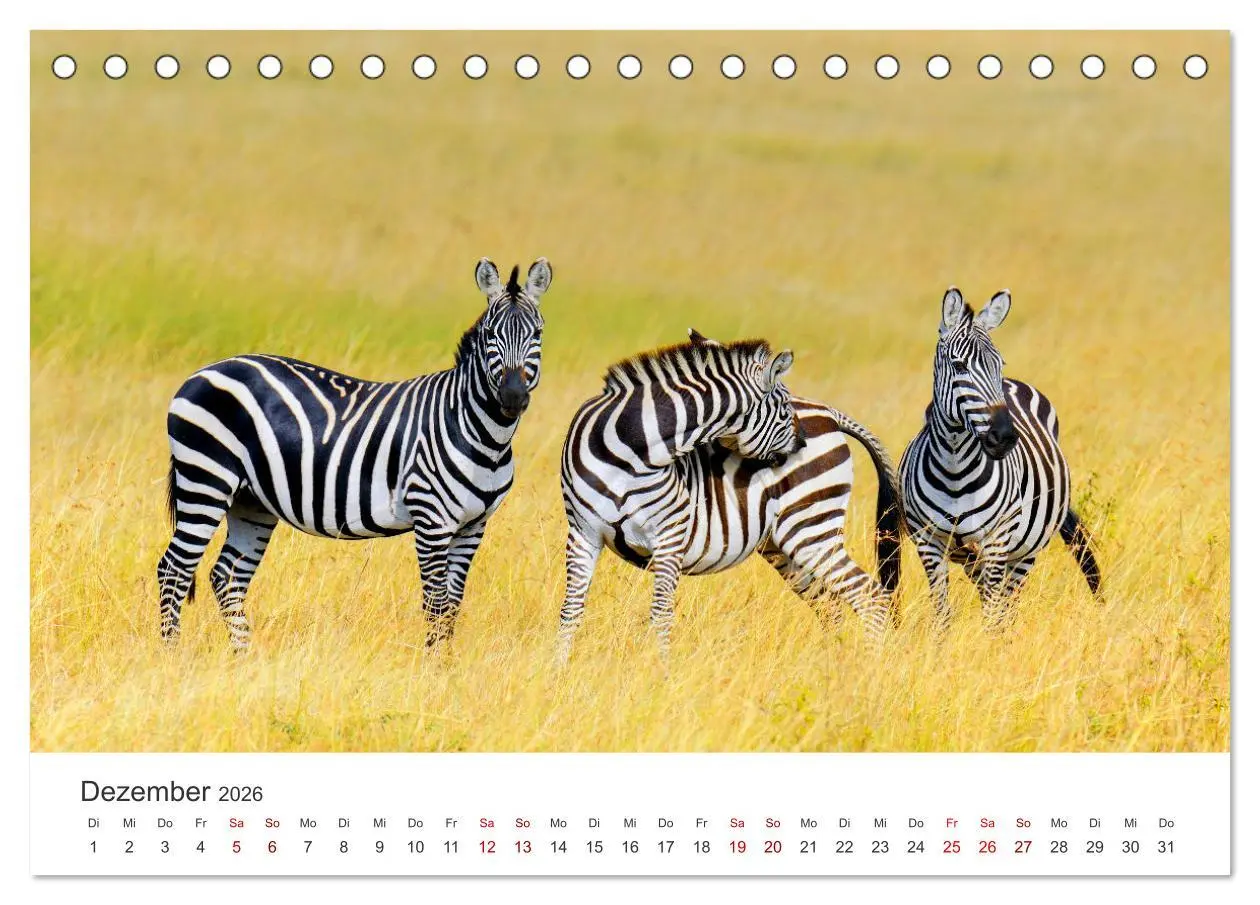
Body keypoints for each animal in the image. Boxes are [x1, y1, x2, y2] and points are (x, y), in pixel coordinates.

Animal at [156, 257, 552, 650]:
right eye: (491, 336)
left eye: (537, 335)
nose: (512, 398)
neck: (481, 436)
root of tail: (204, 371)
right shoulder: (431, 520)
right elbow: (435, 602)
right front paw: (432, 663)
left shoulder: (473, 526)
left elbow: (453, 603)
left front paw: (446, 661)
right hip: (206, 480)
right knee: (174, 568)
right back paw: (173, 654)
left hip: (251, 501)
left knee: (227, 576)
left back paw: (244, 656)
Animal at [556, 328, 903, 663]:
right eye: (784, 411)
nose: (801, 445)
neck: (631, 452)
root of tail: (829, 414)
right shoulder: (582, 534)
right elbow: (571, 611)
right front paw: (559, 671)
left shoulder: (669, 536)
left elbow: (661, 614)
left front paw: (660, 673)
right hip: (784, 546)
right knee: (831, 606)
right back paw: (837, 669)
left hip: (811, 528)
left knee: (869, 596)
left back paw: (870, 669)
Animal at [899, 286, 1102, 634]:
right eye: (959, 366)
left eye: (999, 364)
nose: (1005, 436)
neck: (955, 472)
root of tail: (1016, 383)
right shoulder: (929, 542)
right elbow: (942, 615)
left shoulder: (996, 539)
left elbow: (993, 616)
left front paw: (989, 646)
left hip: (1025, 549)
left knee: (1007, 603)